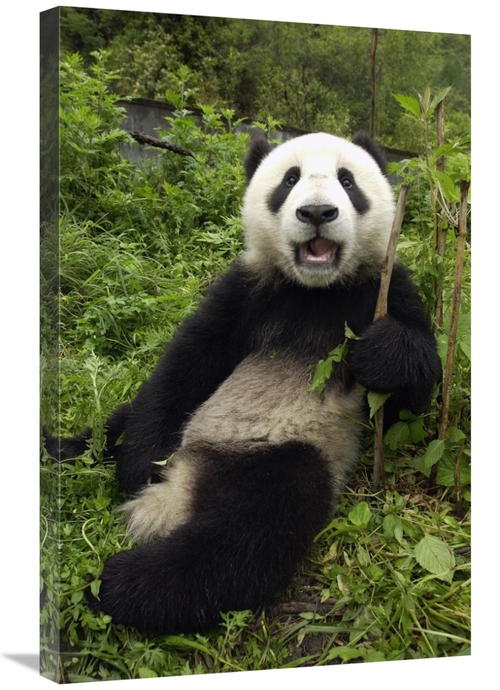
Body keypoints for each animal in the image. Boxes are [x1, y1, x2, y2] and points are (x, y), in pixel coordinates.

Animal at [47, 131, 442, 635]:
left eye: (347, 181)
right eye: (290, 179)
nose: (317, 212)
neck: (315, 290)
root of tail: (179, 490)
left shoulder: (383, 290)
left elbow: (407, 407)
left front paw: (380, 354)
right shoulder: (247, 290)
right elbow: (187, 362)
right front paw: (138, 465)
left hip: (285, 457)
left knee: (246, 538)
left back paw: (120, 583)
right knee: (122, 420)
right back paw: (62, 450)